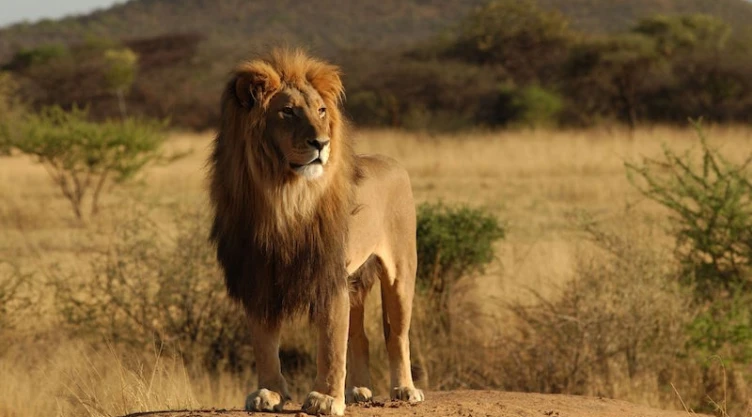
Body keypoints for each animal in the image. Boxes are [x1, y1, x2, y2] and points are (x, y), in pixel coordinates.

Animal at [208, 48, 424, 416]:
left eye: (321, 111)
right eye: (288, 111)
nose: (321, 143)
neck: (284, 197)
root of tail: (392, 161)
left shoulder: (328, 274)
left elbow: (331, 343)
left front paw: (325, 398)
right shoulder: (258, 275)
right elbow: (264, 342)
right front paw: (268, 393)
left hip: (400, 272)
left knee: (396, 334)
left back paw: (405, 389)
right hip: (356, 280)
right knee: (360, 336)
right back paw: (358, 390)